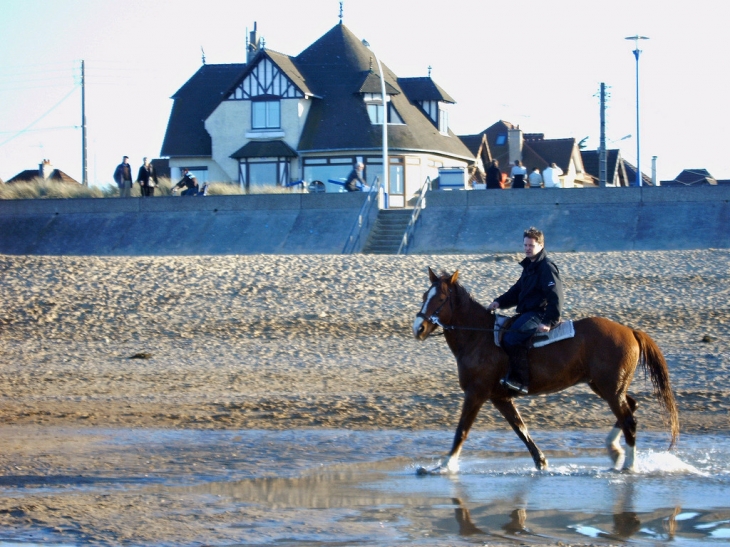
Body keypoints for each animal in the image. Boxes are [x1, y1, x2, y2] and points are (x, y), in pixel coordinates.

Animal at [410, 270, 676, 476]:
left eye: (441, 298)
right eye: (424, 296)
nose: (418, 328)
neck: (479, 336)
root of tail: (629, 330)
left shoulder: (476, 394)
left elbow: (461, 431)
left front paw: (443, 466)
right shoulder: (500, 398)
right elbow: (521, 430)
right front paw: (541, 462)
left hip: (610, 389)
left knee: (629, 419)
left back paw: (629, 465)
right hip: (604, 386)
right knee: (631, 407)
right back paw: (615, 451)